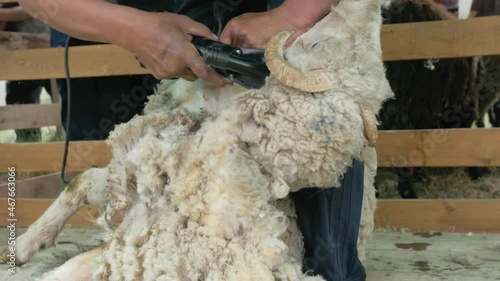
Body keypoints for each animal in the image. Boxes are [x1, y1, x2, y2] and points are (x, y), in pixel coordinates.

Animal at [1, 1, 394, 278]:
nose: (373, 3)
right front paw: (23, 245)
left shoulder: (139, 249)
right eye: (316, 40)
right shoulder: (135, 190)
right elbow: (80, 182)